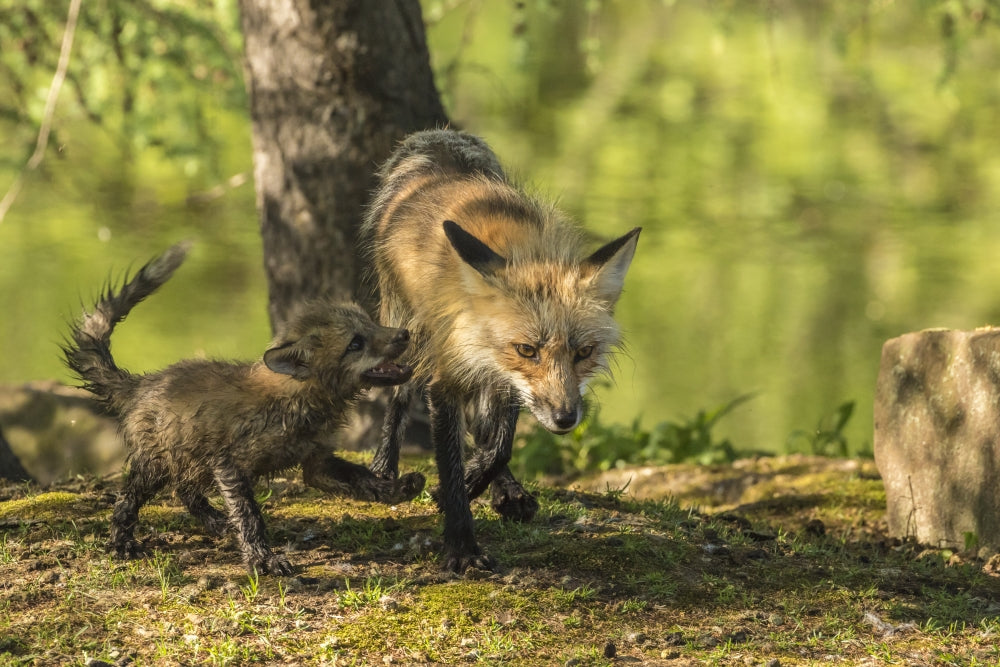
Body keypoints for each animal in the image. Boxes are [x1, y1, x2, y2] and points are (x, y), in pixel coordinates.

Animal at [63, 242, 424, 575]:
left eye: (371, 323)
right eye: (355, 343)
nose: (405, 334)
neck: (298, 403)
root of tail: (143, 382)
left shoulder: (316, 462)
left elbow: (363, 479)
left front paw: (398, 489)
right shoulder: (229, 463)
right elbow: (250, 516)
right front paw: (262, 559)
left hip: (190, 461)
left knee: (185, 490)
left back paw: (217, 524)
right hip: (157, 464)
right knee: (128, 499)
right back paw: (123, 542)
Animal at [360, 129, 640, 571]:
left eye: (583, 352)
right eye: (527, 350)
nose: (565, 419)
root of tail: (438, 149)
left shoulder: (508, 380)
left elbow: (500, 446)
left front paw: (480, 480)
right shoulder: (448, 376)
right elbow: (451, 463)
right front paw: (461, 546)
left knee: (486, 429)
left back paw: (506, 490)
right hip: (409, 331)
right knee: (400, 396)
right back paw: (384, 467)